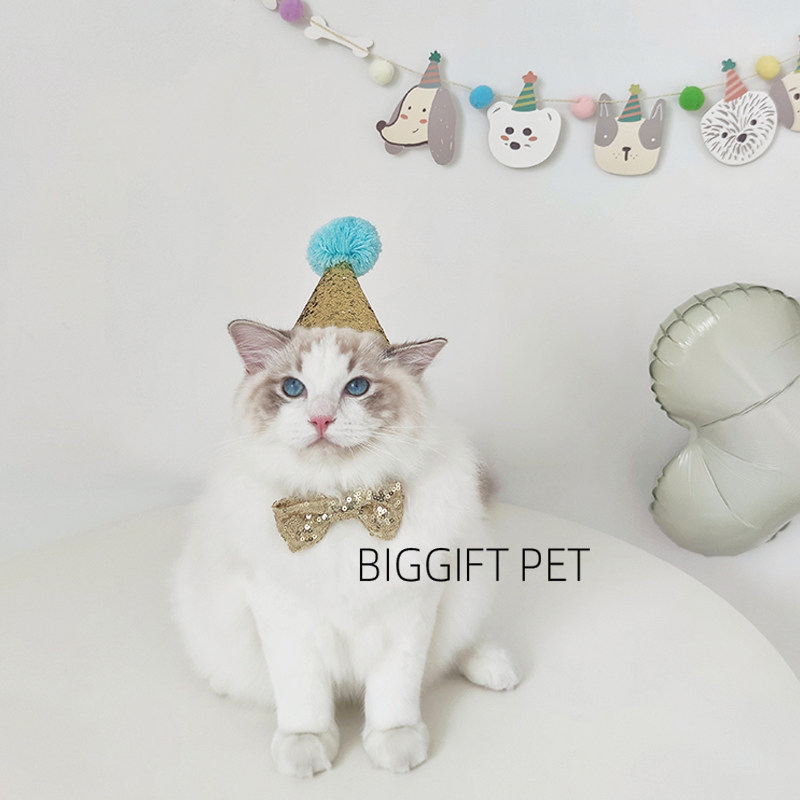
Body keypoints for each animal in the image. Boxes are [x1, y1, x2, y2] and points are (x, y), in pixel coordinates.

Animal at [171, 322, 519, 777]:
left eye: (357, 387)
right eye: (292, 388)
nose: (321, 418)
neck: (339, 507)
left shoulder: (409, 610)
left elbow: (395, 693)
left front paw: (395, 743)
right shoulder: (283, 616)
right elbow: (303, 698)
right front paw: (306, 745)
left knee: (457, 646)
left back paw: (495, 668)